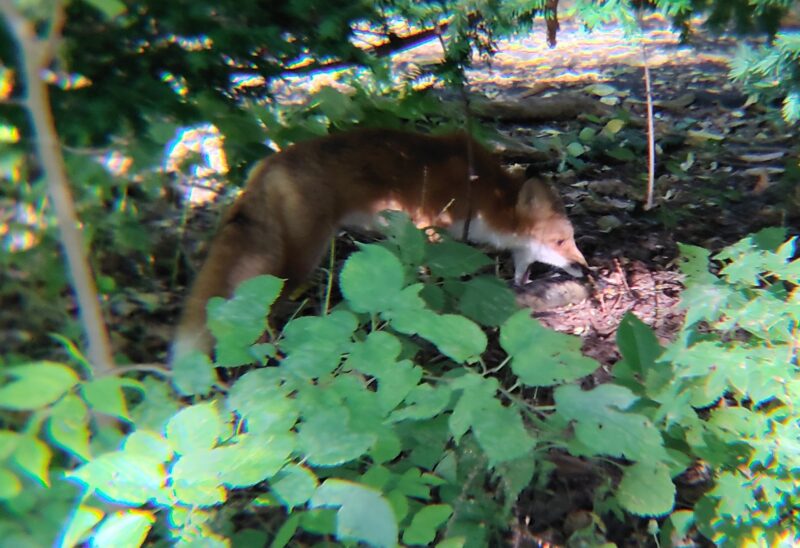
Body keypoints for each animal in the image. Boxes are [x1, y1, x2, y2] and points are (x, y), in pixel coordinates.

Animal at [170, 127, 588, 360]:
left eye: (571, 240)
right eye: (560, 240)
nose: (585, 269)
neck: (484, 193)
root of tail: (267, 164)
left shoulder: (402, 233)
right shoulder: (430, 226)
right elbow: (428, 278)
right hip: (299, 257)